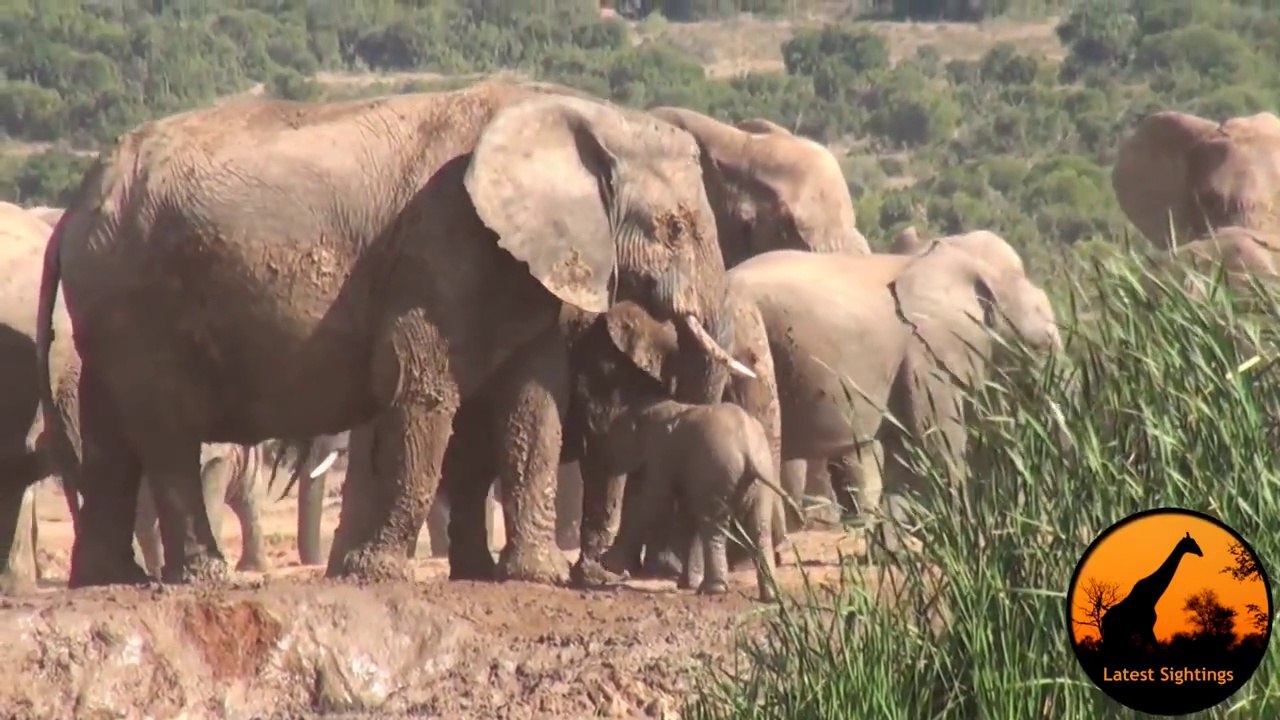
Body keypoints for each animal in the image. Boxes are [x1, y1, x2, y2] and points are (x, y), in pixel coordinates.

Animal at [39, 78, 752, 589]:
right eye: (675, 228)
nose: (605, 574)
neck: (572, 112)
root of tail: (72, 209)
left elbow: (533, 405)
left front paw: (532, 577)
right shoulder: (439, 243)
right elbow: (422, 390)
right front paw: (379, 574)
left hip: (105, 303)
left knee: (109, 438)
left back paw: (111, 580)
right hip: (136, 301)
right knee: (166, 430)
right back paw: (204, 578)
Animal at [575, 303, 782, 601]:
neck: (656, 405)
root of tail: (749, 454)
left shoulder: (661, 452)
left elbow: (651, 498)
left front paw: (608, 564)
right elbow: (680, 509)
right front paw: (685, 582)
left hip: (720, 468)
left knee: (713, 523)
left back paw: (714, 590)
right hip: (759, 476)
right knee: (758, 528)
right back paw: (769, 596)